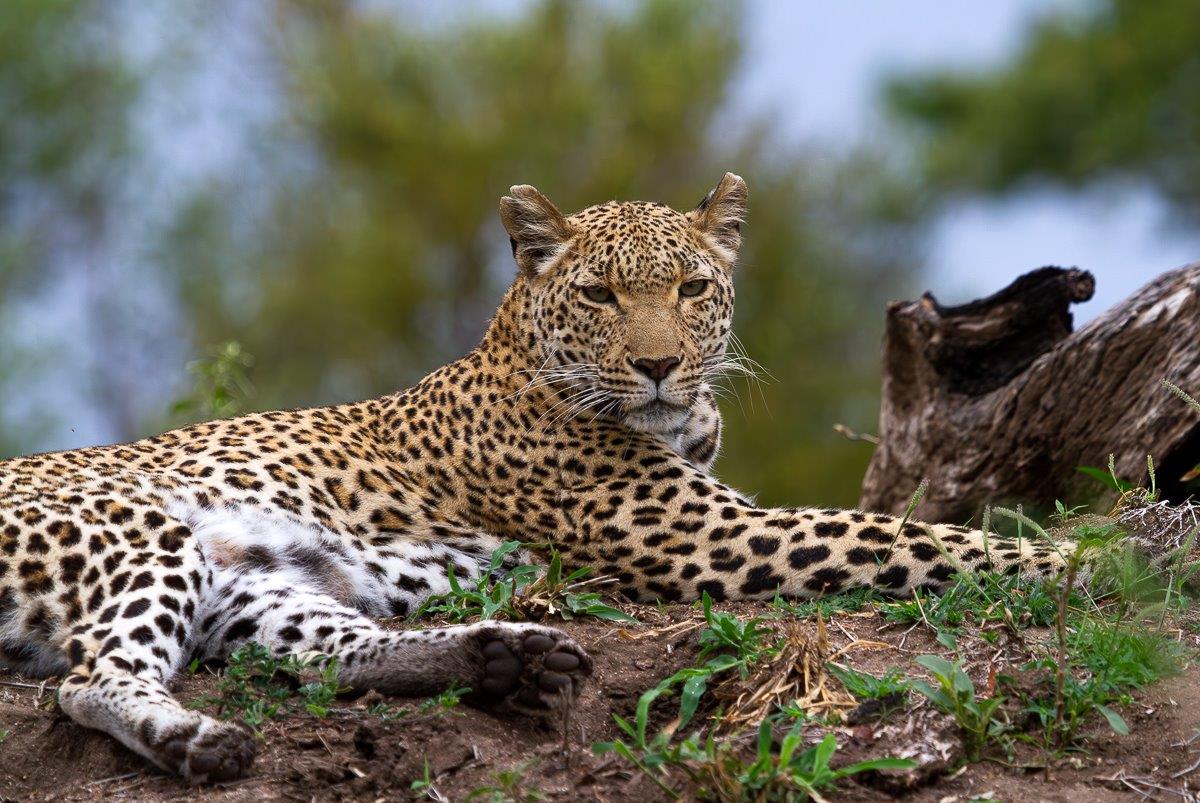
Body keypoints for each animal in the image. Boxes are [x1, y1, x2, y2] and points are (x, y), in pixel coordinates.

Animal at [0, 172, 1068, 782]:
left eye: (692, 287)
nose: (658, 364)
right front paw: (1075, 561)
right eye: (598, 294)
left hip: (253, 581)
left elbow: (902, 528)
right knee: (90, 681)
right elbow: (903, 535)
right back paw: (198, 743)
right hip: (143, 530)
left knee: (326, 654)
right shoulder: (714, 535)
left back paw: (501, 654)